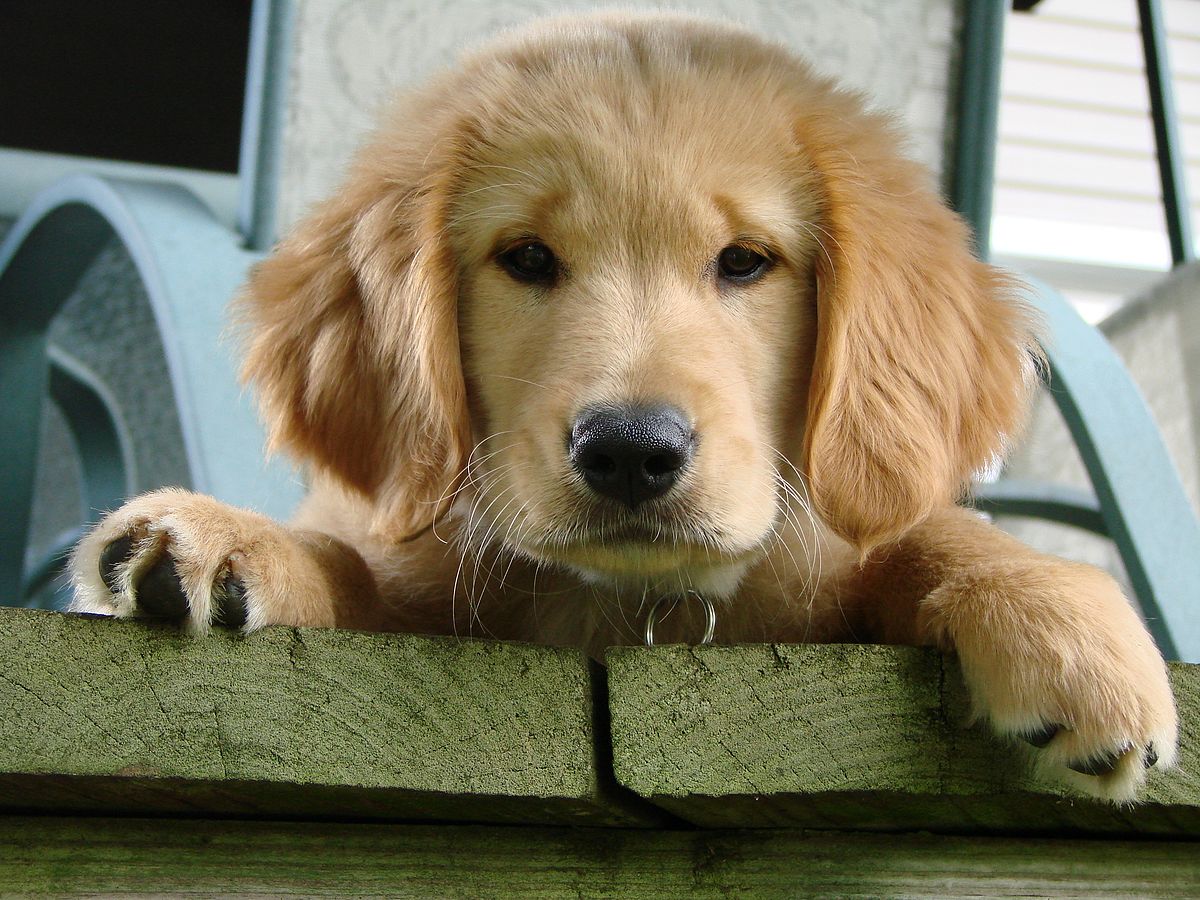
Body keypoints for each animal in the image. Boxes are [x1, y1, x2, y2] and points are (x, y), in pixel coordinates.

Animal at [68, 12, 1171, 801]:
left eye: (745, 262)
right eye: (526, 259)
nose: (632, 451)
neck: (629, 606)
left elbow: (921, 538)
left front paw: (1065, 625)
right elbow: (354, 564)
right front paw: (232, 544)